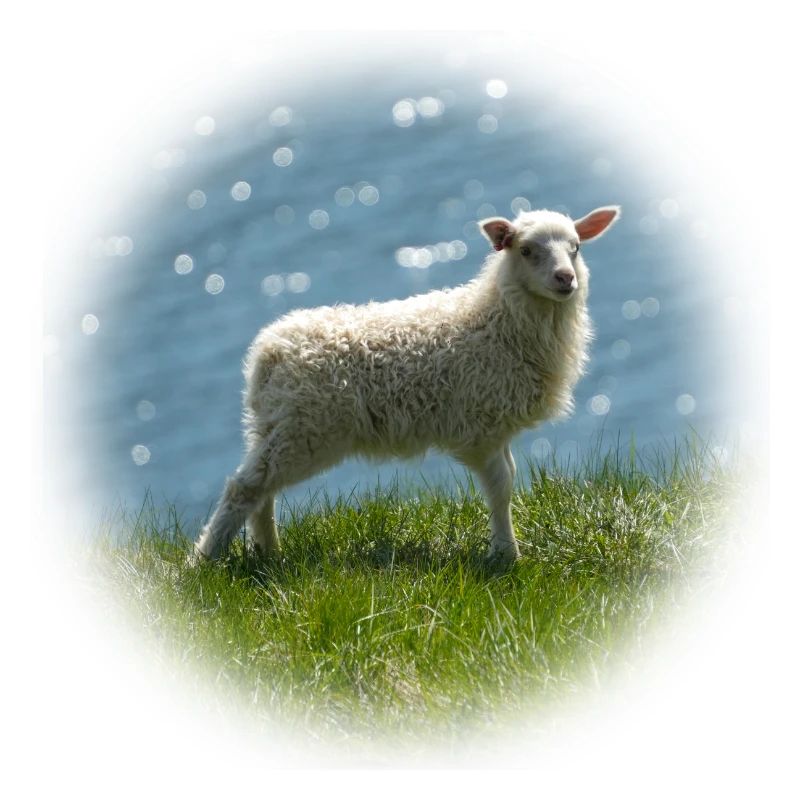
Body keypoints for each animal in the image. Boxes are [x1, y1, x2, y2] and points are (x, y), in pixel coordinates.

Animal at [194, 205, 621, 565]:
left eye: (576, 248)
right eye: (527, 250)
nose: (565, 279)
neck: (496, 321)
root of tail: (268, 352)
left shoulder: (497, 426)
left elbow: (509, 481)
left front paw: (505, 548)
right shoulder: (480, 430)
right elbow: (501, 488)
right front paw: (506, 555)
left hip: (279, 427)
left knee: (261, 489)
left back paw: (268, 553)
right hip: (306, 429)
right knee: (245, 487)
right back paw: (205, 561)